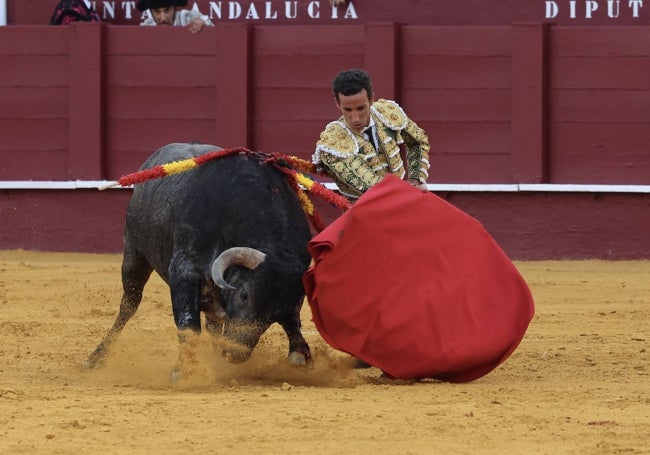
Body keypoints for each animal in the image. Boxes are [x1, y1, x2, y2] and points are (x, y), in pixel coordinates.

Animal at [82, 142, 316, 378]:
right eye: (244, 295)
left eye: (277, 314)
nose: (235, 353)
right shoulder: (184, 270)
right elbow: (188, 324)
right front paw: (183, 370)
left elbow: (293, 323)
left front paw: (299, 355)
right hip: (134, 253)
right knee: (129, 304)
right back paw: (96, 357)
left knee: (213, 325)